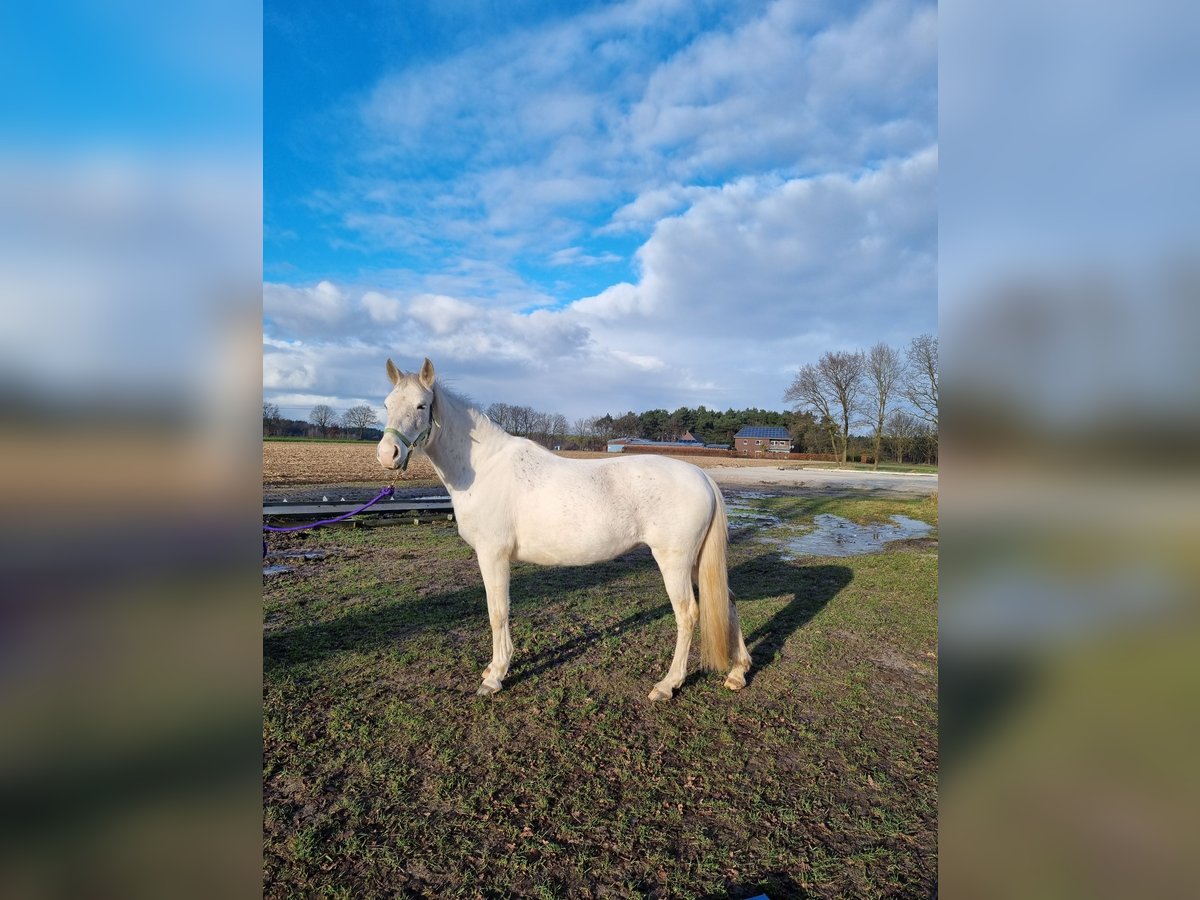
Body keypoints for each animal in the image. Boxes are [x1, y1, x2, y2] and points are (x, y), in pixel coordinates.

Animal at [374, 355, 748, 700]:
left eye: (421, 405)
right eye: (387, 405)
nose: (387, 454)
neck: (483, 467)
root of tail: (701, 475)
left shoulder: (493, 555)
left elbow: (498, 612)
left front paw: (495, 676)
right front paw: (494, 668)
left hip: (675, 561)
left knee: (688, 614)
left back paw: (668, 684)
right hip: (697, 561)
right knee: (727, 600)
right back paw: (738, 672)